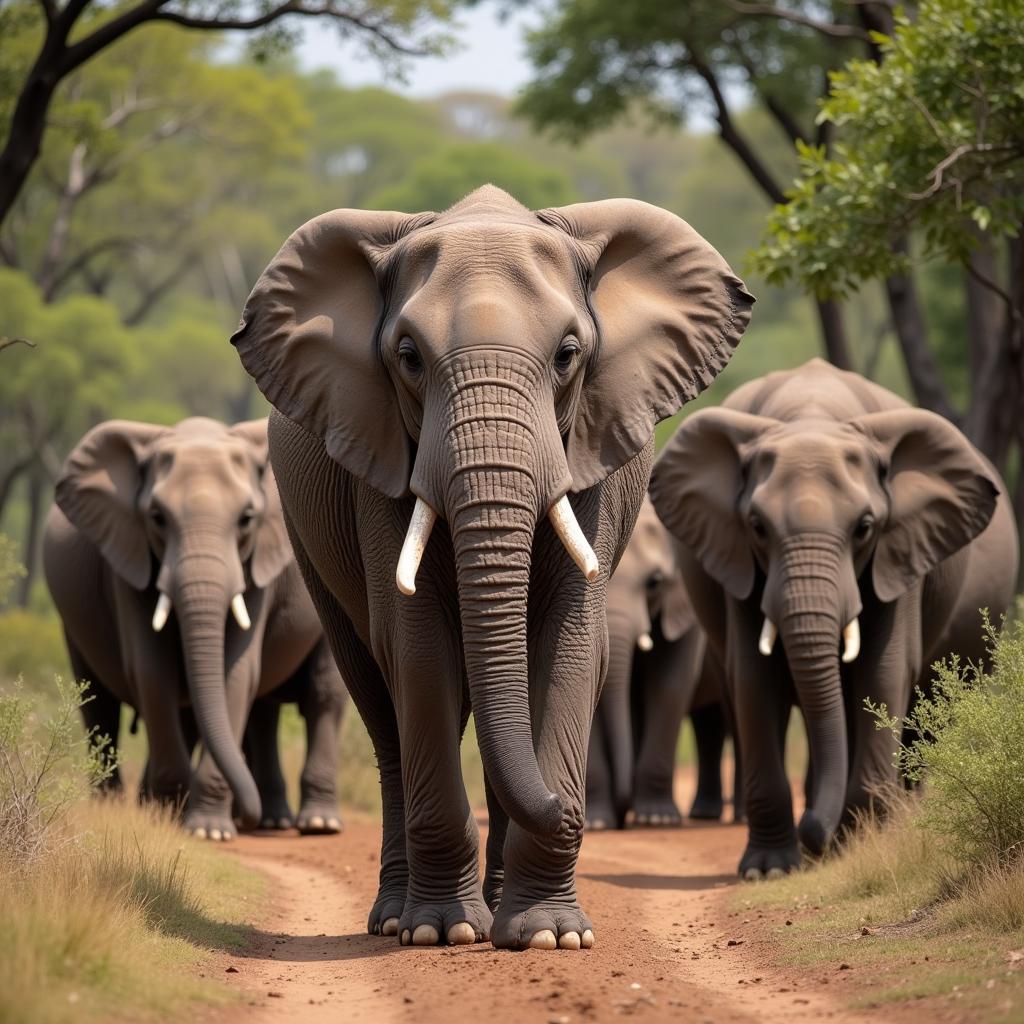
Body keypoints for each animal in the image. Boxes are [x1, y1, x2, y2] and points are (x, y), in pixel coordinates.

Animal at [43, 415, 348, 839]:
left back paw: (316, 825)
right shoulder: (129, 558)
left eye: (246, 519)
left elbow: (236, 673)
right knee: (99, 700)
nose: (244, 817)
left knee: (322, 693)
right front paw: (169, 814)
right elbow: (152, 671)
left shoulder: (257, 564)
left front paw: (207, 830)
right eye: (157, 518)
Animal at [585, 495, 745, 831]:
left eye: (655, 583)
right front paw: (597, 824)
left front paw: (656, 819)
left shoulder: (686, 600)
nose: (621, 815)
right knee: (707, 724)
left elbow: (670, 685)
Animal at [651, 360, 1019, 880]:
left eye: (864, 528)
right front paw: (769, 870)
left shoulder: (900, 553)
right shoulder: (736, 562)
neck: (813, 416)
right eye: (758, 527)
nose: (814, 835)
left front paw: (859, 845)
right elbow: (754, 678)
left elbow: (883, 674)